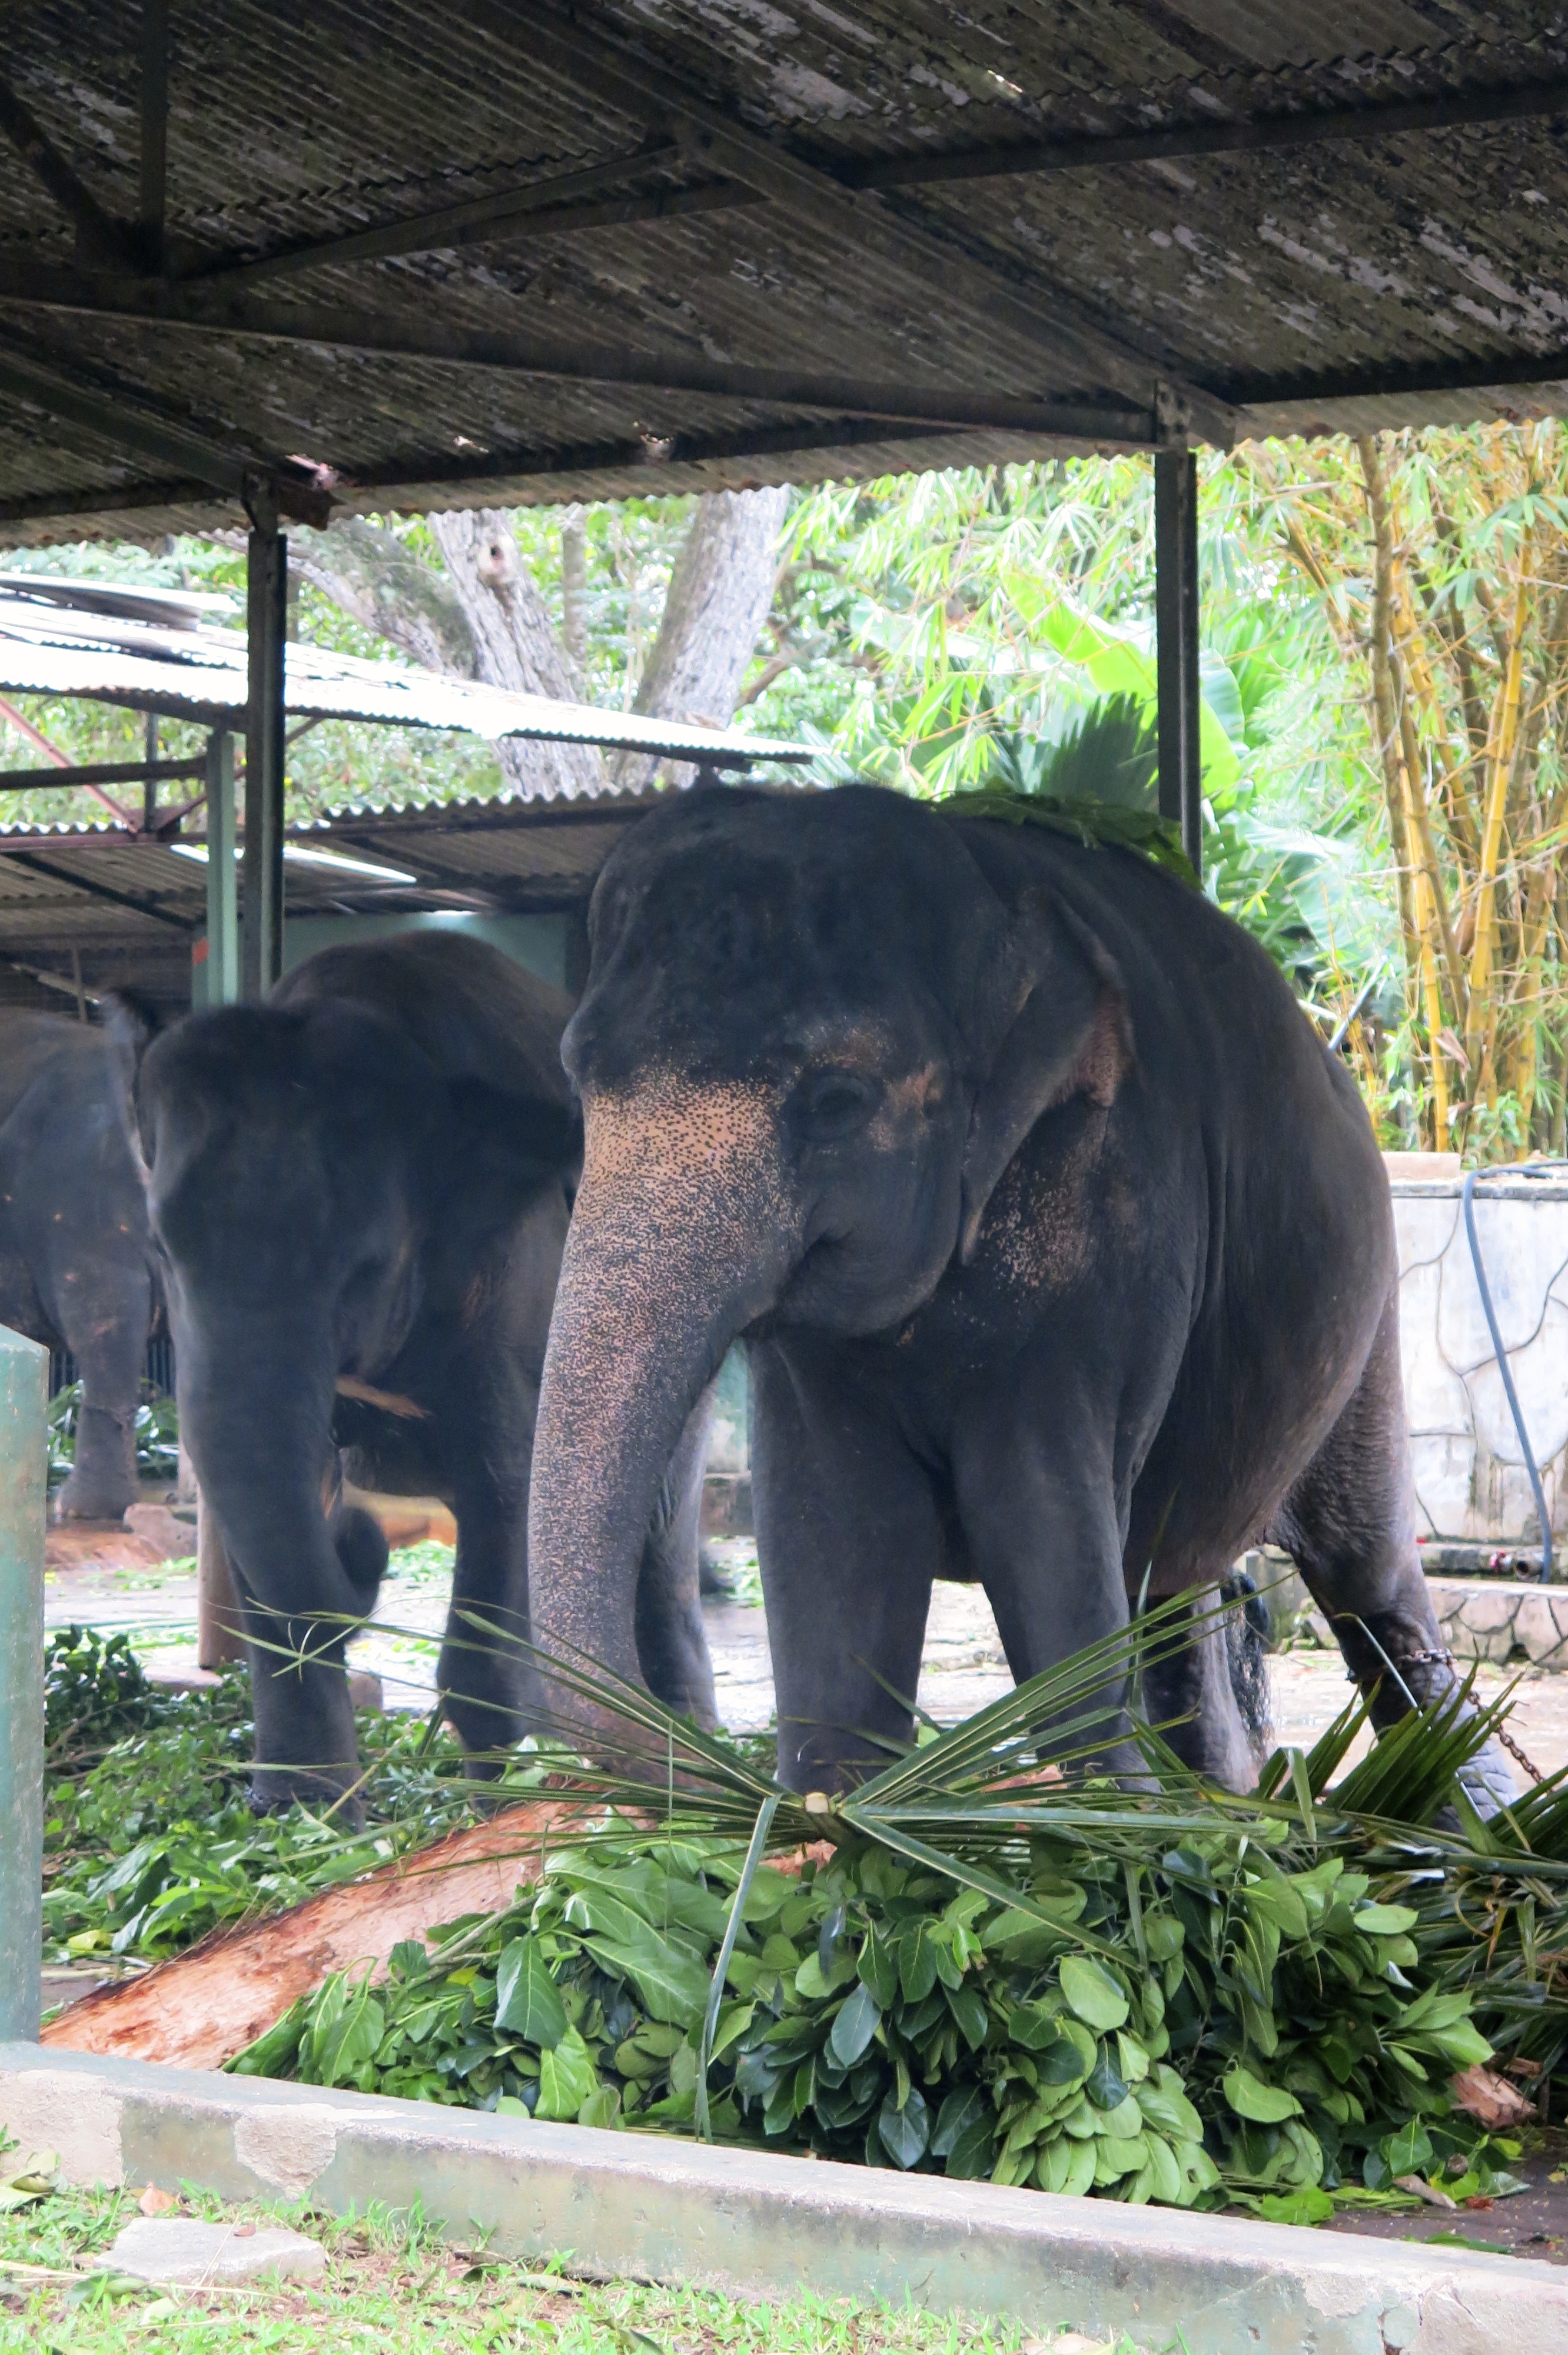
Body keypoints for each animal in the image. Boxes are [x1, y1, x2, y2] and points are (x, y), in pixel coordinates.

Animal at [114, 931, 717, 1814]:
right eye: (159, 1249)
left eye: (365, 1265)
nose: (363, 1544)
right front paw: (304, 1812)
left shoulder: (517, 1271)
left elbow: (507, 1485)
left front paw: (494, 1803)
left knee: (661, 1534)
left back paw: (683, 1758)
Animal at [525, 782, 1510, 1807]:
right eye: (577, 1076)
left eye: (836, 1102)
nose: (699, 1766)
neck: (987, 887)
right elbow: (833, 1536)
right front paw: (830, 1812)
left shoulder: (1116, 1228)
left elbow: (1040, 1526)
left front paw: (1108, 1822)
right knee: (1172, 1583)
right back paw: (1219, 1803)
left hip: (1371, 1313)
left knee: (1369, 1577)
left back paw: (1456, 1811)